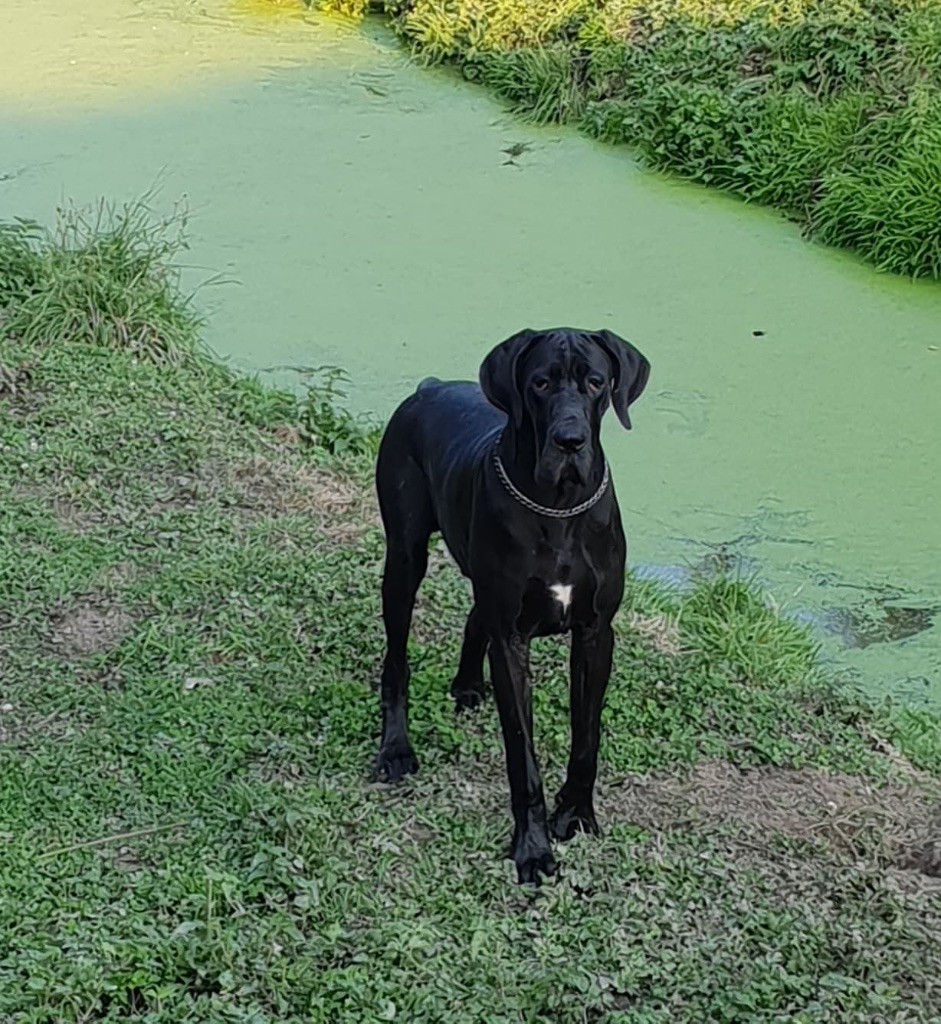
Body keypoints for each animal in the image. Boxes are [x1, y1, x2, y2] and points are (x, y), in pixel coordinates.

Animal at [370, 331, 651, 884]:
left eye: (596, 382)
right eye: (540, 383)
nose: (570, 441)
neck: (559, 507)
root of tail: (428, 387)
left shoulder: (596, 633)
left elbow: (586, 736)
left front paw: (576, 814)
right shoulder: (512, 639)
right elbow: (522, 754)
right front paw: (533, 849)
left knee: (474, 618)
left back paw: (467, 684)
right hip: (405, 560)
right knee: (396, 661)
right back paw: (396, 747)